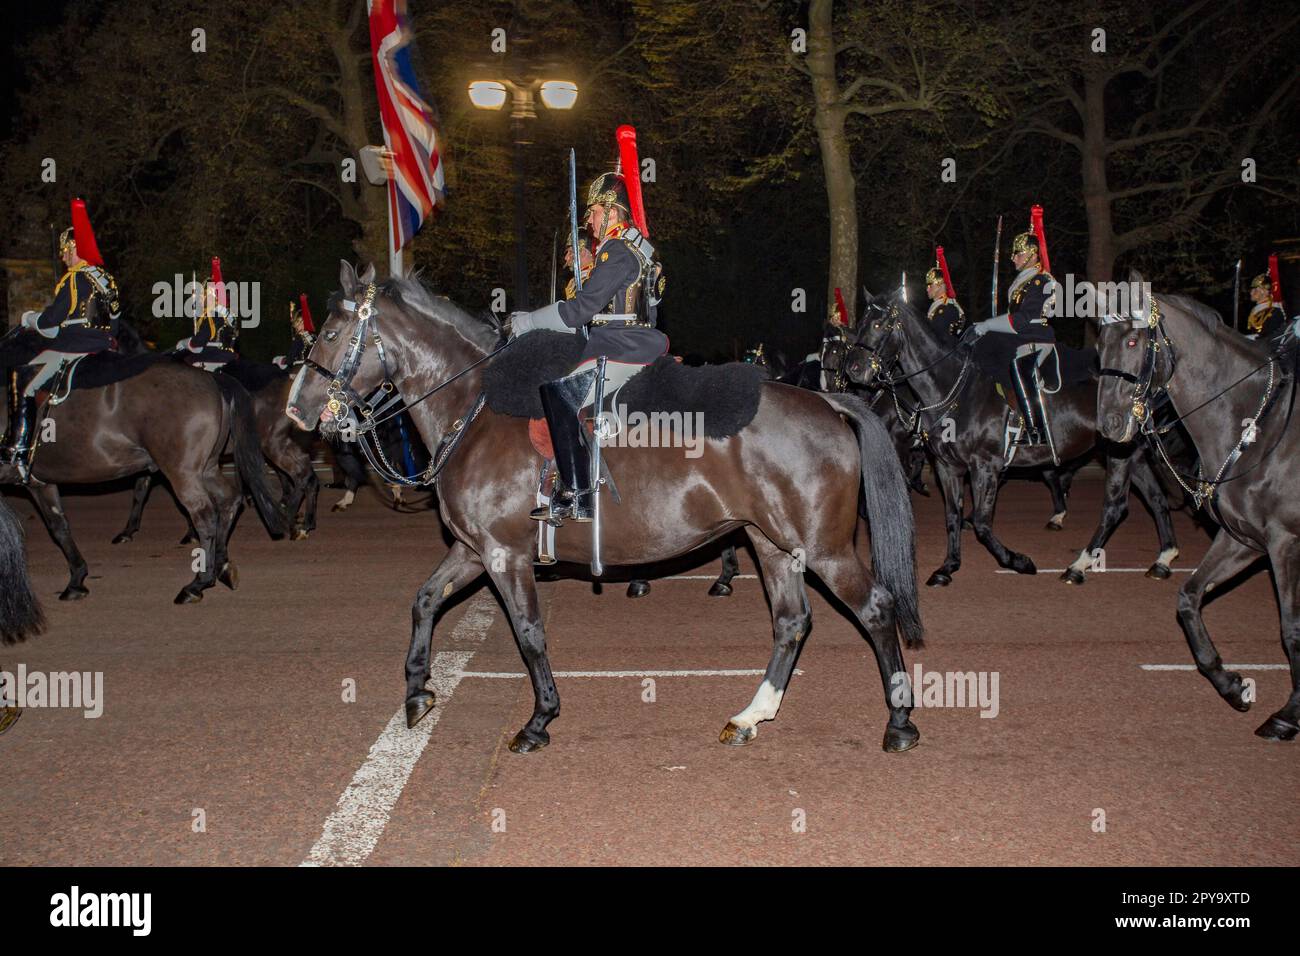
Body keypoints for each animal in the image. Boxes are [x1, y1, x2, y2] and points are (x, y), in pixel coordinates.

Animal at [0, 351, 287, 606]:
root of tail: (213, 379)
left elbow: (56, 527)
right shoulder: (41, 482)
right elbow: (60, 526)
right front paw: (77, 579)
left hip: (182, 472)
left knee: (204, 514)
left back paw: (197, 584)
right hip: (205, 468)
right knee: (229, 500)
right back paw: (221, 565)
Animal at [291, 264, 930, 754]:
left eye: (331, 332)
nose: (298, 410)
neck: (475, 410)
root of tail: (827, 400)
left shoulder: (503, 556)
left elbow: (529, 633)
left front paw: (539, 719)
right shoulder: (473, 551)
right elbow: (424, 600)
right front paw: (417, 692)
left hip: (823, 549)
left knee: (875, 609)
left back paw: (899, 721)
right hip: (772, 544)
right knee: (792, 622)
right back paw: (751, 715)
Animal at [842, 291, 1180, 587]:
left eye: (878, 324)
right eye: (859, 324)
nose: (853, 369)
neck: (954, 391)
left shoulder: (986, 466)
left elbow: (981, 522)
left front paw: (1019, 561)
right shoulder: (947, 467)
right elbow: (952, 516)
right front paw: (947, 567)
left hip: (1118, 453)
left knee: (1115, 506)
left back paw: (1078, 566)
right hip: (1133, 454)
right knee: (1155, 498)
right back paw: (1163, 559)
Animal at [1097, 290, 1300, 738]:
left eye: (1134, 340)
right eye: (1100, 342)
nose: (1109, 424)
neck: (1258, 433)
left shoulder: (1285, 544)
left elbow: (1292, 629)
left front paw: (1288, 715)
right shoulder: (1244, 540)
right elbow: (1189, 597)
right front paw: (1230, 684)